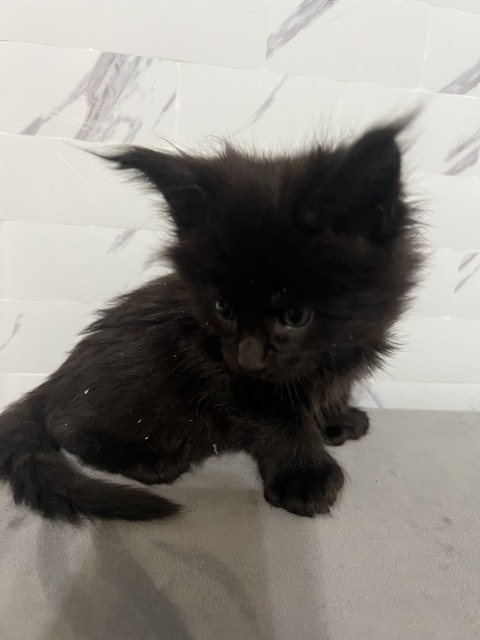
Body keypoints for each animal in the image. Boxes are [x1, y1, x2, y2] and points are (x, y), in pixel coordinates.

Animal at [0, 120, 421, 522]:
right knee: (68, 428)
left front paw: (338, 420)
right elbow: (281, 422)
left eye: (295, 315)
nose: (249, 360)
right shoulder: (232, 376)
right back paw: (152, 461)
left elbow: (333, 389)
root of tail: (54, 381)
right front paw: (304, 479)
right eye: (223, 308)